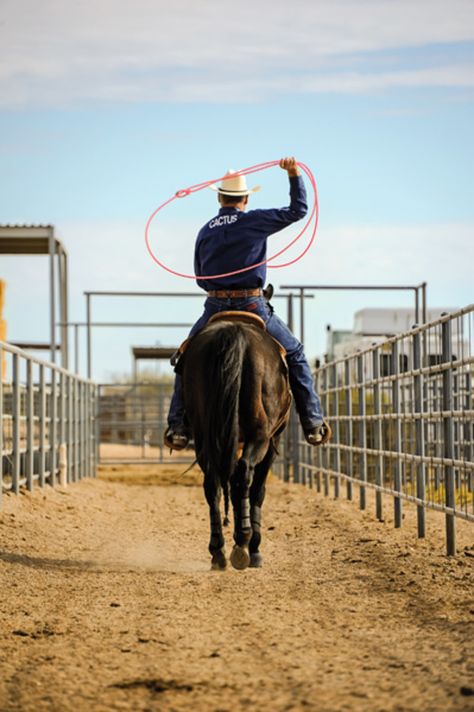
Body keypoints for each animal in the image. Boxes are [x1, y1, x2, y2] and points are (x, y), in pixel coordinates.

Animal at [181, 314, 290, 572]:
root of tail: (234, 332)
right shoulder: (272, 442)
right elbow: (257, 491)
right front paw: (255, 548)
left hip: (204, 436)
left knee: (213, 484)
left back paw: (218, 551)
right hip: (261, 436)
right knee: (244, 474)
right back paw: (242, 543)